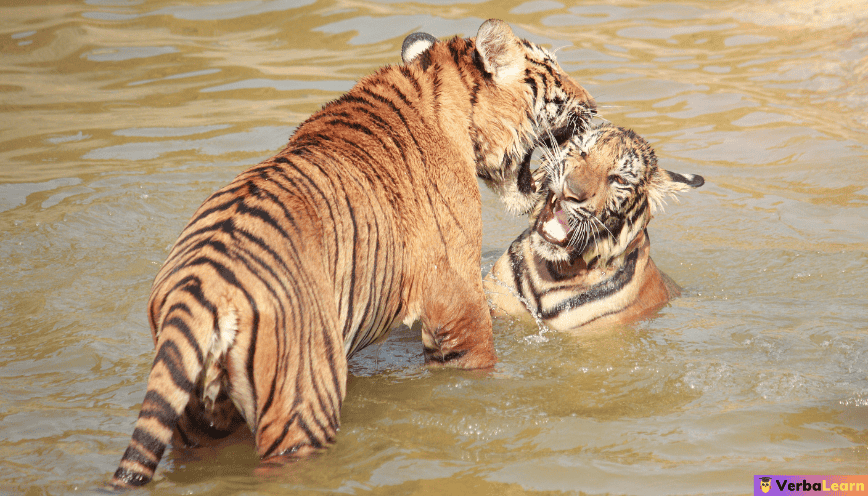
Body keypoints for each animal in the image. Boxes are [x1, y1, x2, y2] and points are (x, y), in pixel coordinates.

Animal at [108, 19, 596, 488]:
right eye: (554, 70)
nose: (593, 107)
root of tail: (200, 284)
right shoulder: (458, 300)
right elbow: (478, 362)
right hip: (303, 403)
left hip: (198, 420)